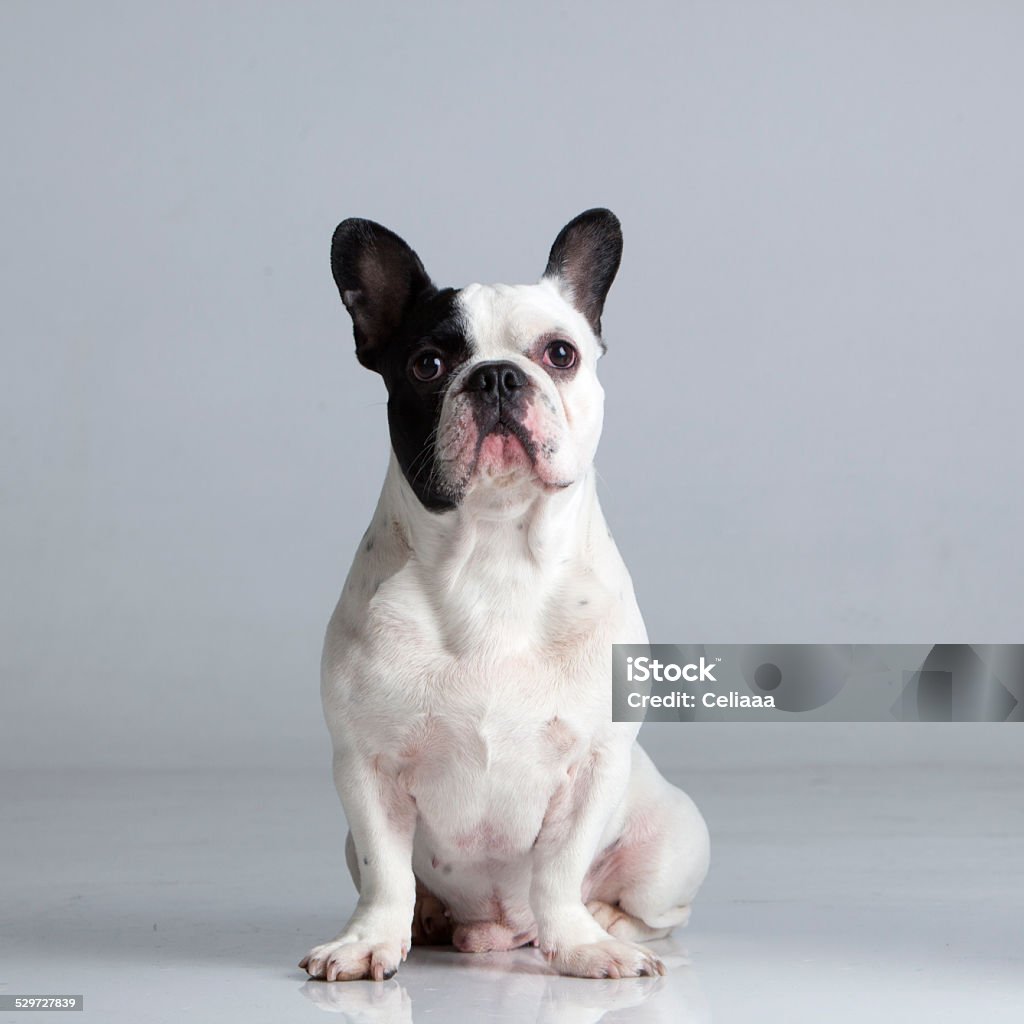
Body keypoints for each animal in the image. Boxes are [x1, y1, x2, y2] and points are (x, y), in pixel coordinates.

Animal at [299, 209, 708, 983]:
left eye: (560, 353)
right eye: (428, 364)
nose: (494, 376)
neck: (494, 554)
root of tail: (497, 931)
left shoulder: (594, 764)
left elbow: (560, 868)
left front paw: (580, 944)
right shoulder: (364, 765)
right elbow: (385, 871)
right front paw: (370, 941)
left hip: (676, 841)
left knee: (656, 910)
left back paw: (607, 924)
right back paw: (428, 920)